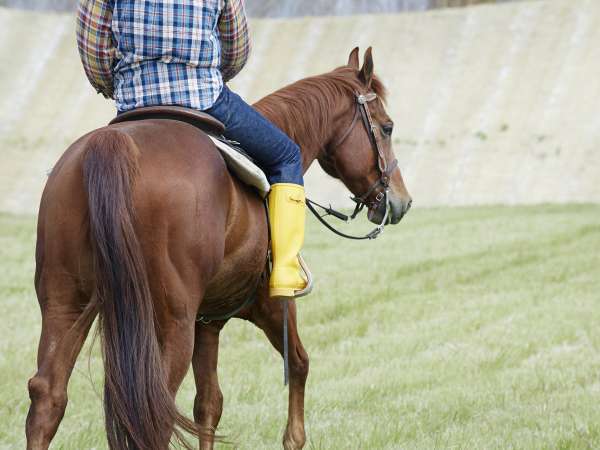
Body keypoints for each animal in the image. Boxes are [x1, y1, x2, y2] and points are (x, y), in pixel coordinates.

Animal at [27, 47, 412, 448]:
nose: (401, 200)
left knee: (48, 396)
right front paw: (293, 437)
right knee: (157, 409)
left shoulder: (208, 324)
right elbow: (299, 364)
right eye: (387, 127)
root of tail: (115, 145)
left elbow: (209, 405)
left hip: (66, 303)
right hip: (170, 322)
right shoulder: (273, 305)